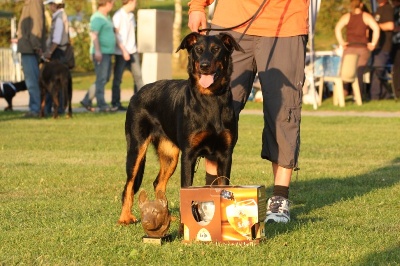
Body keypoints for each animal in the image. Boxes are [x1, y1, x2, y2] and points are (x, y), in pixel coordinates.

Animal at [118, 32, 244, 224]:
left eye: (216, 49)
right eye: (198, 50)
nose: (204, 65)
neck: (211, 99)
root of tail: (136, 94)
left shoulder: (225, 154)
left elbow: (222, 186)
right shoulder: (189, 155)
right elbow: (186, 187)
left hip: (170, 155)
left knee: (158, 183)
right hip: (136, 148)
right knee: (129, 184)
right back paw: (125, 217)